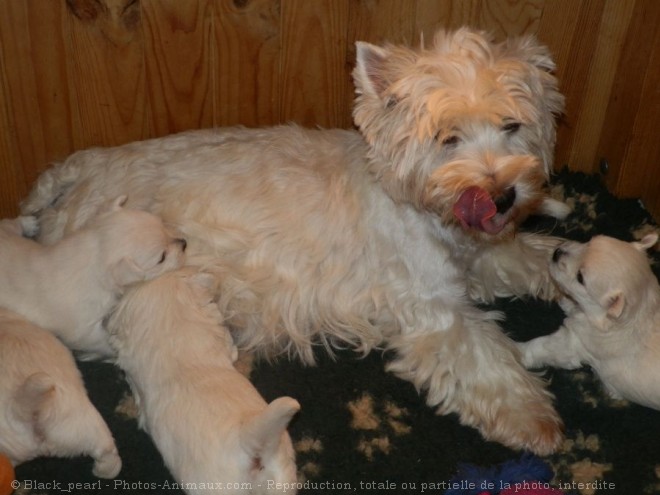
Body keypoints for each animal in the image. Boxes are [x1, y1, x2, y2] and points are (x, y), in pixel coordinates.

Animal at [0, 196, 186, 362]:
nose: (184, 243)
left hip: (8, 233)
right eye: (162, 258)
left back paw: (29, 223)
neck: (91, 257)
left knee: (9, 224)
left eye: (162, 223)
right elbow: (103, 343)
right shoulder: (84, 333)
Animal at [20, 26, 568, 454]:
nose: (501, 196)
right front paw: (535, 419)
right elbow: (483, 353)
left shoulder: (482, 256)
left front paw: (570, 272)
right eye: (446, 137)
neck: (422, 210)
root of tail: (77, 170)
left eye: (512, 125)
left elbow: (529, 258)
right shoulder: (431, 308)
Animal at [520, 236, 660, 410]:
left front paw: (513, 350)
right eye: (588, 242)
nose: (557, 252)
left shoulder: (572, 345)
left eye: (580, 277)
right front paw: (564, 300)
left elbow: (540, 346)